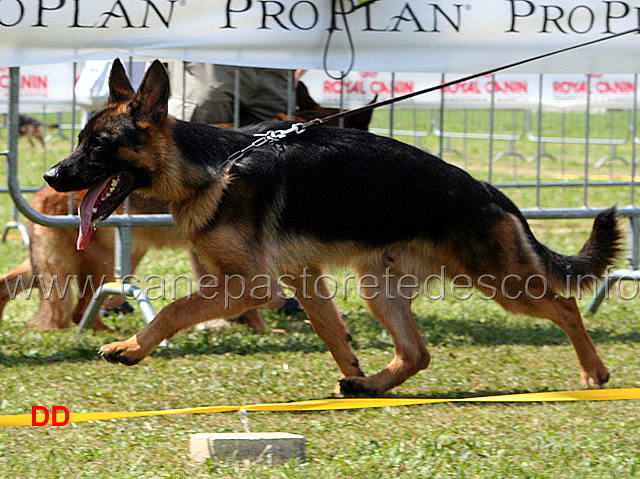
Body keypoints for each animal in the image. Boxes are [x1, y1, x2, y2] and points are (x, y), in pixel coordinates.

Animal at [43, 61, 620, 398]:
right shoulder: (303, 276)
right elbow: (330, 331)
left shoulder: (252, 284)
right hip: (377, 287)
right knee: (417, 352)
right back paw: (371, 385)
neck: (210, 166)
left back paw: (594, 372)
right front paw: (352, 368)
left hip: (500, 281)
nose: (50, 176)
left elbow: (174, 309)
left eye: (98, 146)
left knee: (566, 306)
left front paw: (130, 349)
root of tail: (488, 191)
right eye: (79, 139)